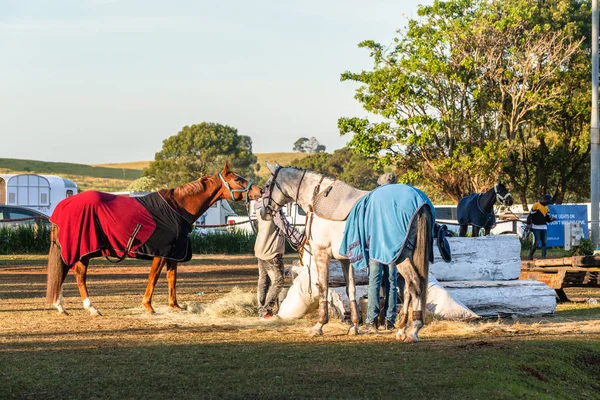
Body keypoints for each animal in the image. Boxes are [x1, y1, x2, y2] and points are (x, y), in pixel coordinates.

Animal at [45, 162, 262, 316]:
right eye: (239, 180)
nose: (260, 191)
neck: (177, 208)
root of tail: (64, 204)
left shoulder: (174, 253)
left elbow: (172, 278)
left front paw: (175, 306)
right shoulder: (161, 253)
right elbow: (154, 277)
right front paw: (148, 306)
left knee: (64, 273)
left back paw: (61, 306)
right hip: (83, 251)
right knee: (79, 275)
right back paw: (90, 308)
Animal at [260, 164, 434, 342]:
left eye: (267, 186)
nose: (263, 212)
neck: (316, 196)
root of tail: (419, 203)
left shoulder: (321, 254)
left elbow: (323, 288)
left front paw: (319, 325)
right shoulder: (345, 259)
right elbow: (350, 289)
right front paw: (354, 326)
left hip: (401, 258)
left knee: (415, 284)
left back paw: (413, 330)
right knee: (407, 289)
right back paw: (401, 329)